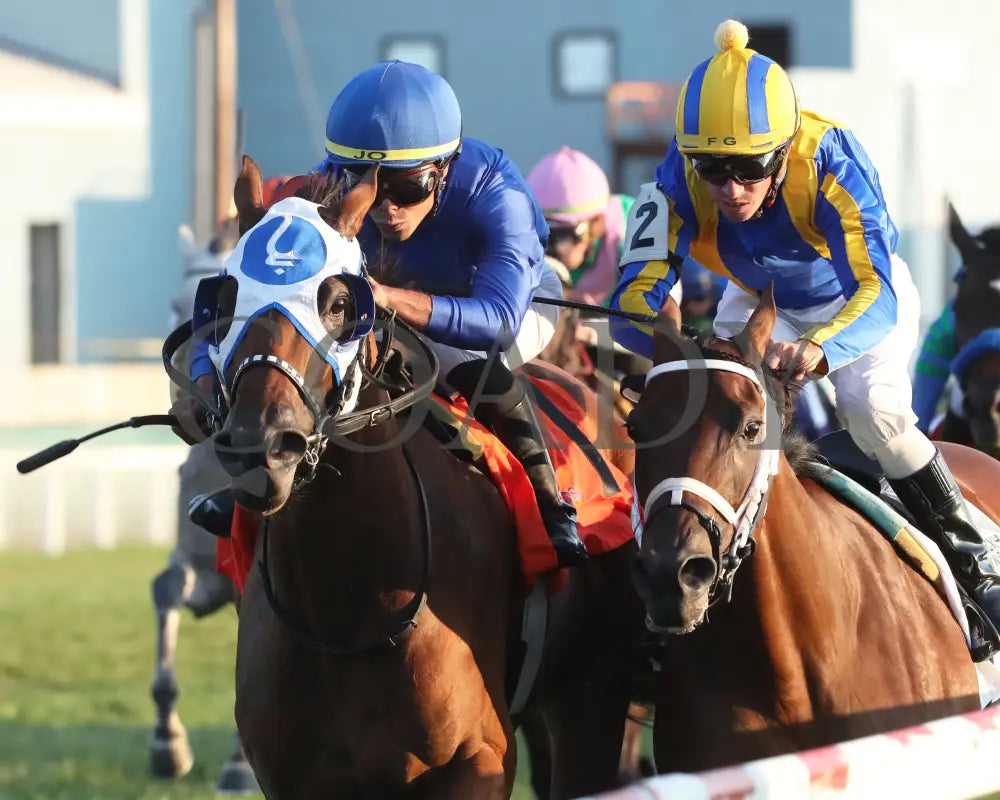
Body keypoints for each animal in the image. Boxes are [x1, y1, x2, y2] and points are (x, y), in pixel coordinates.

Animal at [208, 157, 643, 798]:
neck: (343, 605)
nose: (260, 446)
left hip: (591, 699)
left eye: (340, 303)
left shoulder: (478, 758)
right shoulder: (293, 774)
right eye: (223, 300)